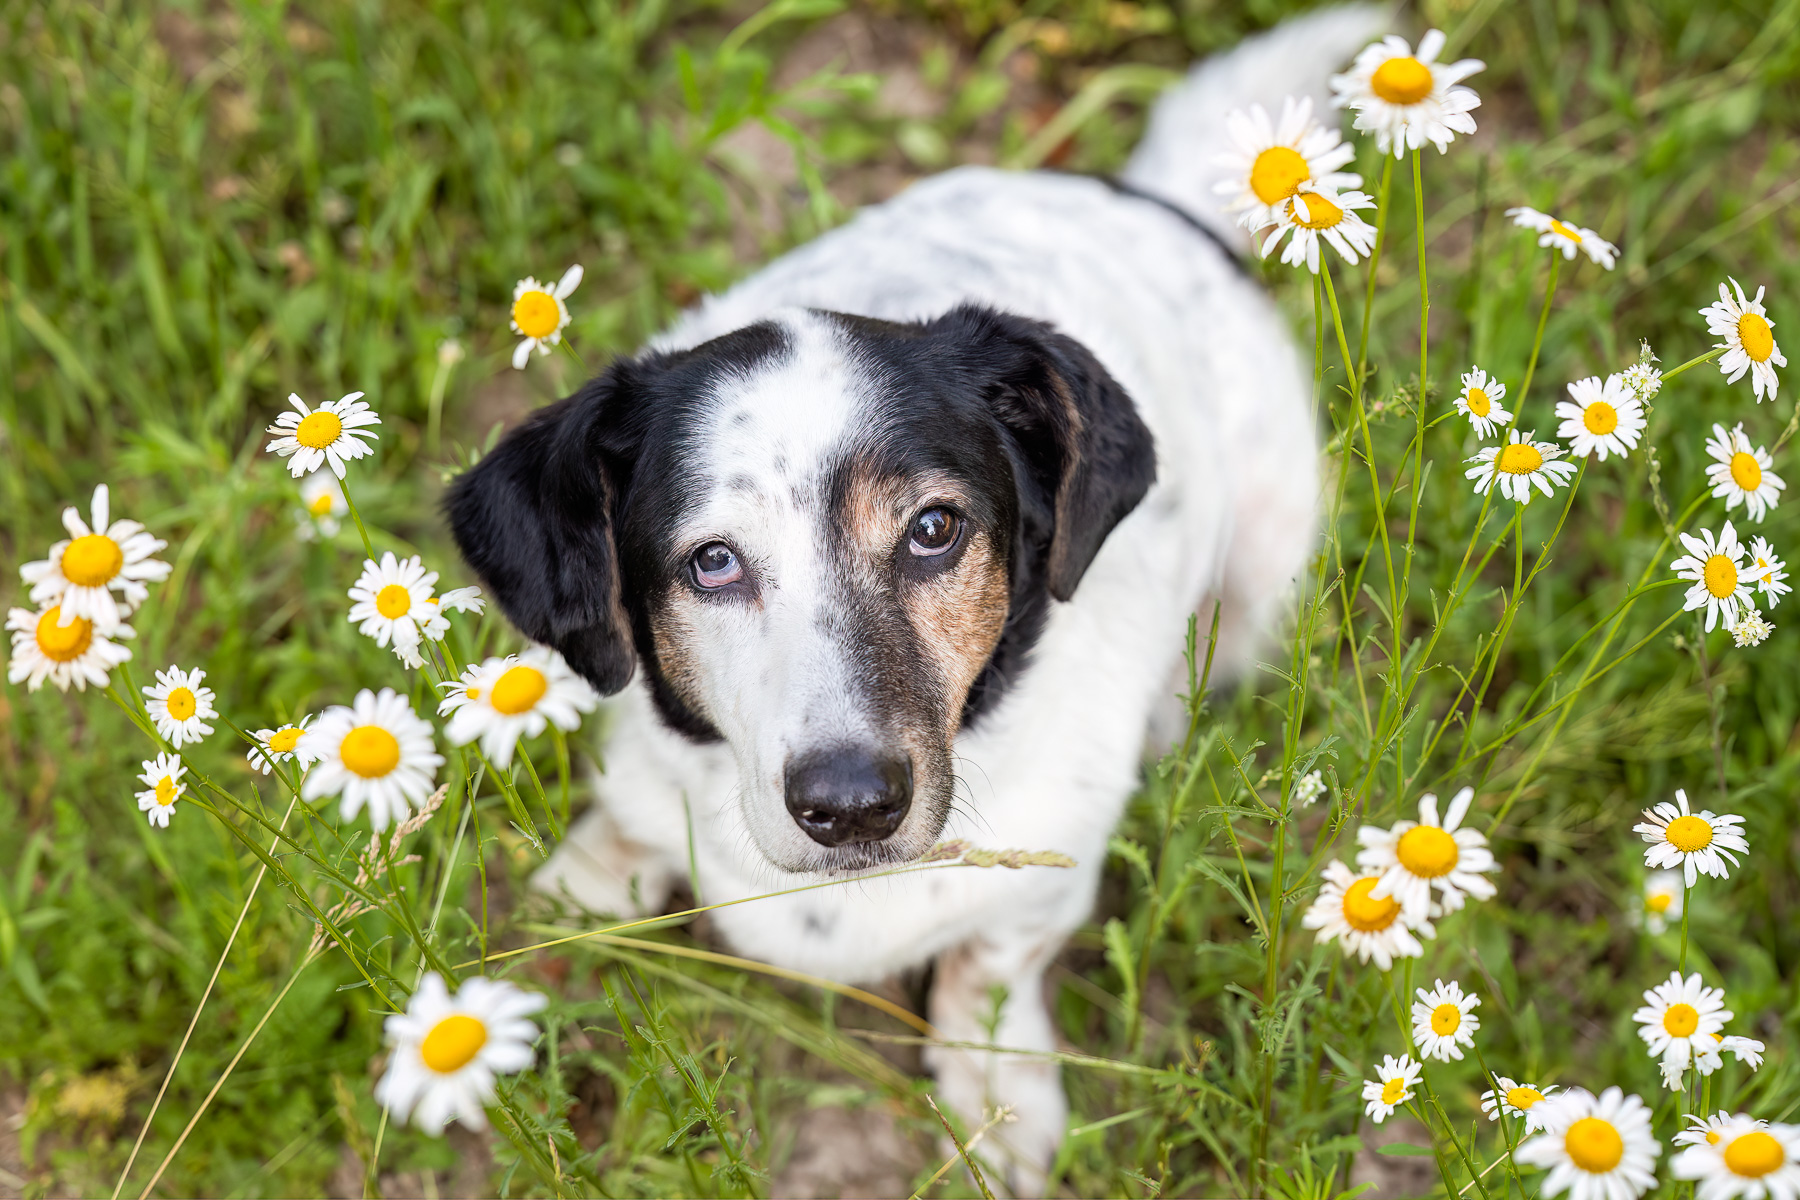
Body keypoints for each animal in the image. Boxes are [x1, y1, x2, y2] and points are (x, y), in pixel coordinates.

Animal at [446, 7, 1375, 1194]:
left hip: (1267, 561)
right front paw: (580, 891)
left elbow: (990, 963)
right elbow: (623, 825)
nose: (851, 806)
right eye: (711, 561)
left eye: (934, 528)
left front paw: (995, 1095)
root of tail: (1151, 203)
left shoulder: (1042, 877)